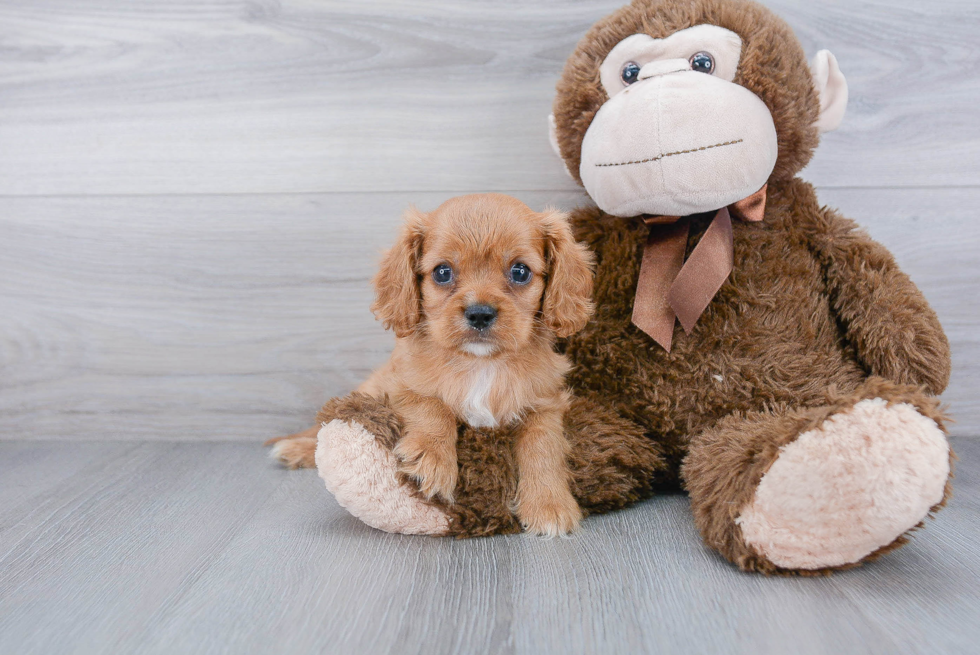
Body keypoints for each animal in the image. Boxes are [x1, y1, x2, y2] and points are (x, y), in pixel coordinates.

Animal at [266, 195, 596, 540]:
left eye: (520, 271)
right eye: (442, 272)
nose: (480, 313)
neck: (481, 363)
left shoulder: (546, 402)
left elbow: (543, 445)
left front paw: (549, 503)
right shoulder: (400, 385)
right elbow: (430, 405)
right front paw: (433, 459)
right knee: (323, 425)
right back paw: (297, 448)